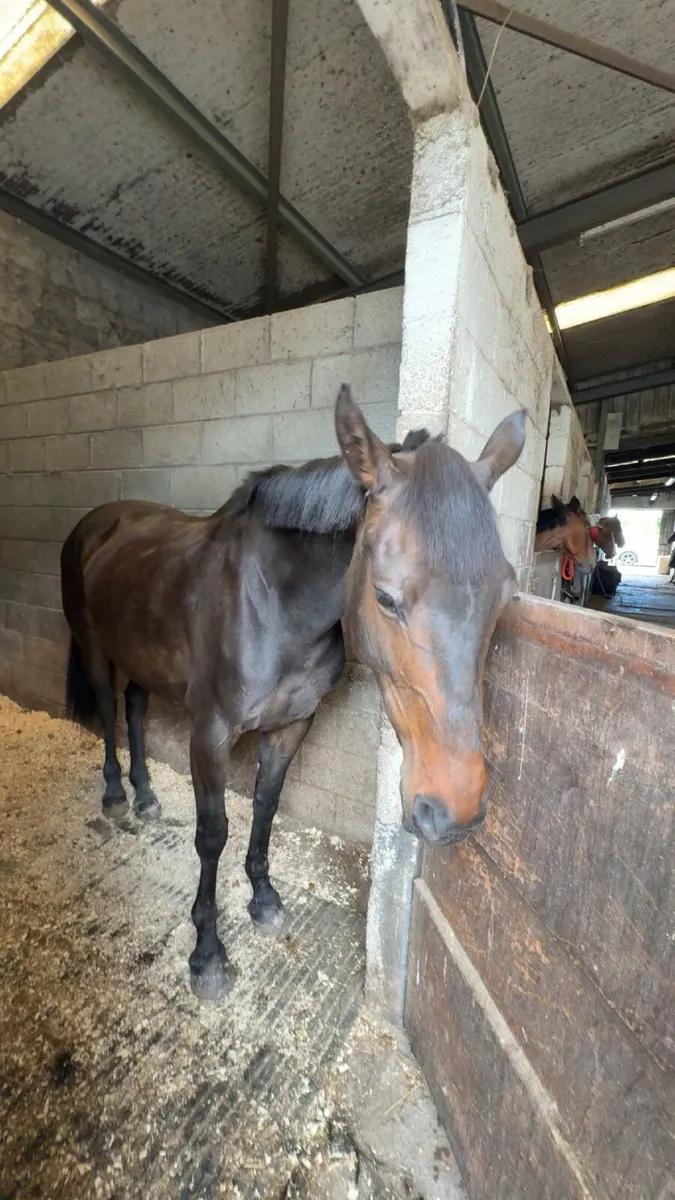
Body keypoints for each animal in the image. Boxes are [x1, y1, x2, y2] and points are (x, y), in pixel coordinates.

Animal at [61, 386, 526, 999]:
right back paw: (116, 795)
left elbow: (266, 806)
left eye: (505, 595)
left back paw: (145, 795)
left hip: (144, 656)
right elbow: (213, 833)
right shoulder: (210, 732)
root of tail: (97, 522)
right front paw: (207, 953)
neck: (274, 601)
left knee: (135, 708)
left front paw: (263, 899)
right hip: (96, 649)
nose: (456, 809)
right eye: (385, 597)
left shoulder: (292, 724)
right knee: (109, 709)